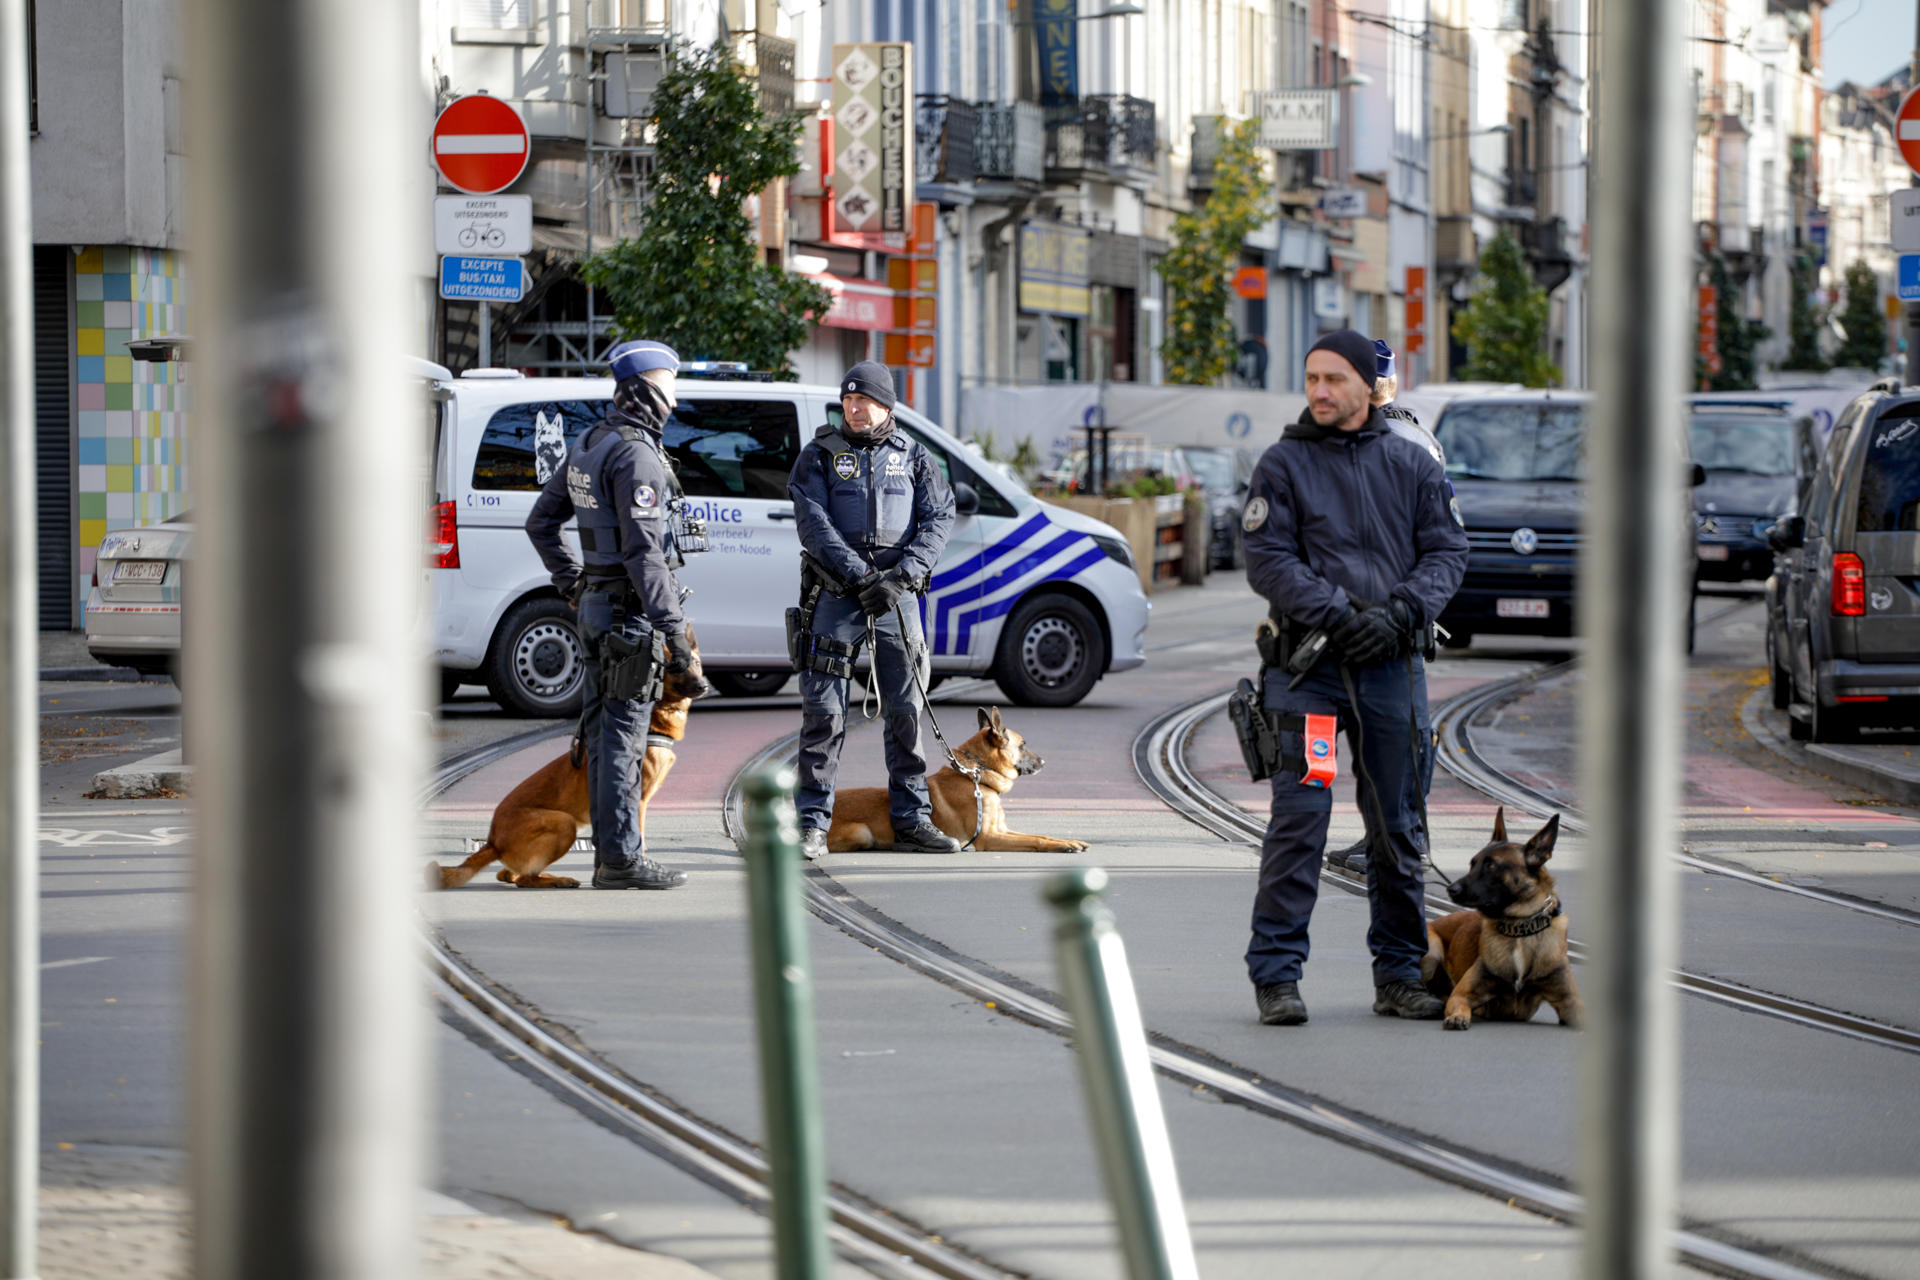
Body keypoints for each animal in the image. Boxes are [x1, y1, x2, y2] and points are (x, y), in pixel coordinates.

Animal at [424, 640, 710, 890]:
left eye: (697, 663)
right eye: (676, 667)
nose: (704, 685)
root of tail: (493, 840)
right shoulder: (636, 800)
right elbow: (637, 838)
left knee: (508, 875)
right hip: (564, 823)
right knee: (522, 878)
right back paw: (557, 880)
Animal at [1420, 809, 1582, 1028]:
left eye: (1491, 866)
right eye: (1472, 864)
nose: (1451, 889)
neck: (1520, 927)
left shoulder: (1571, 1003)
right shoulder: (1461, 994)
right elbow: (1460, 1003)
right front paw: (1457, 1016)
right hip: (1432, 946)